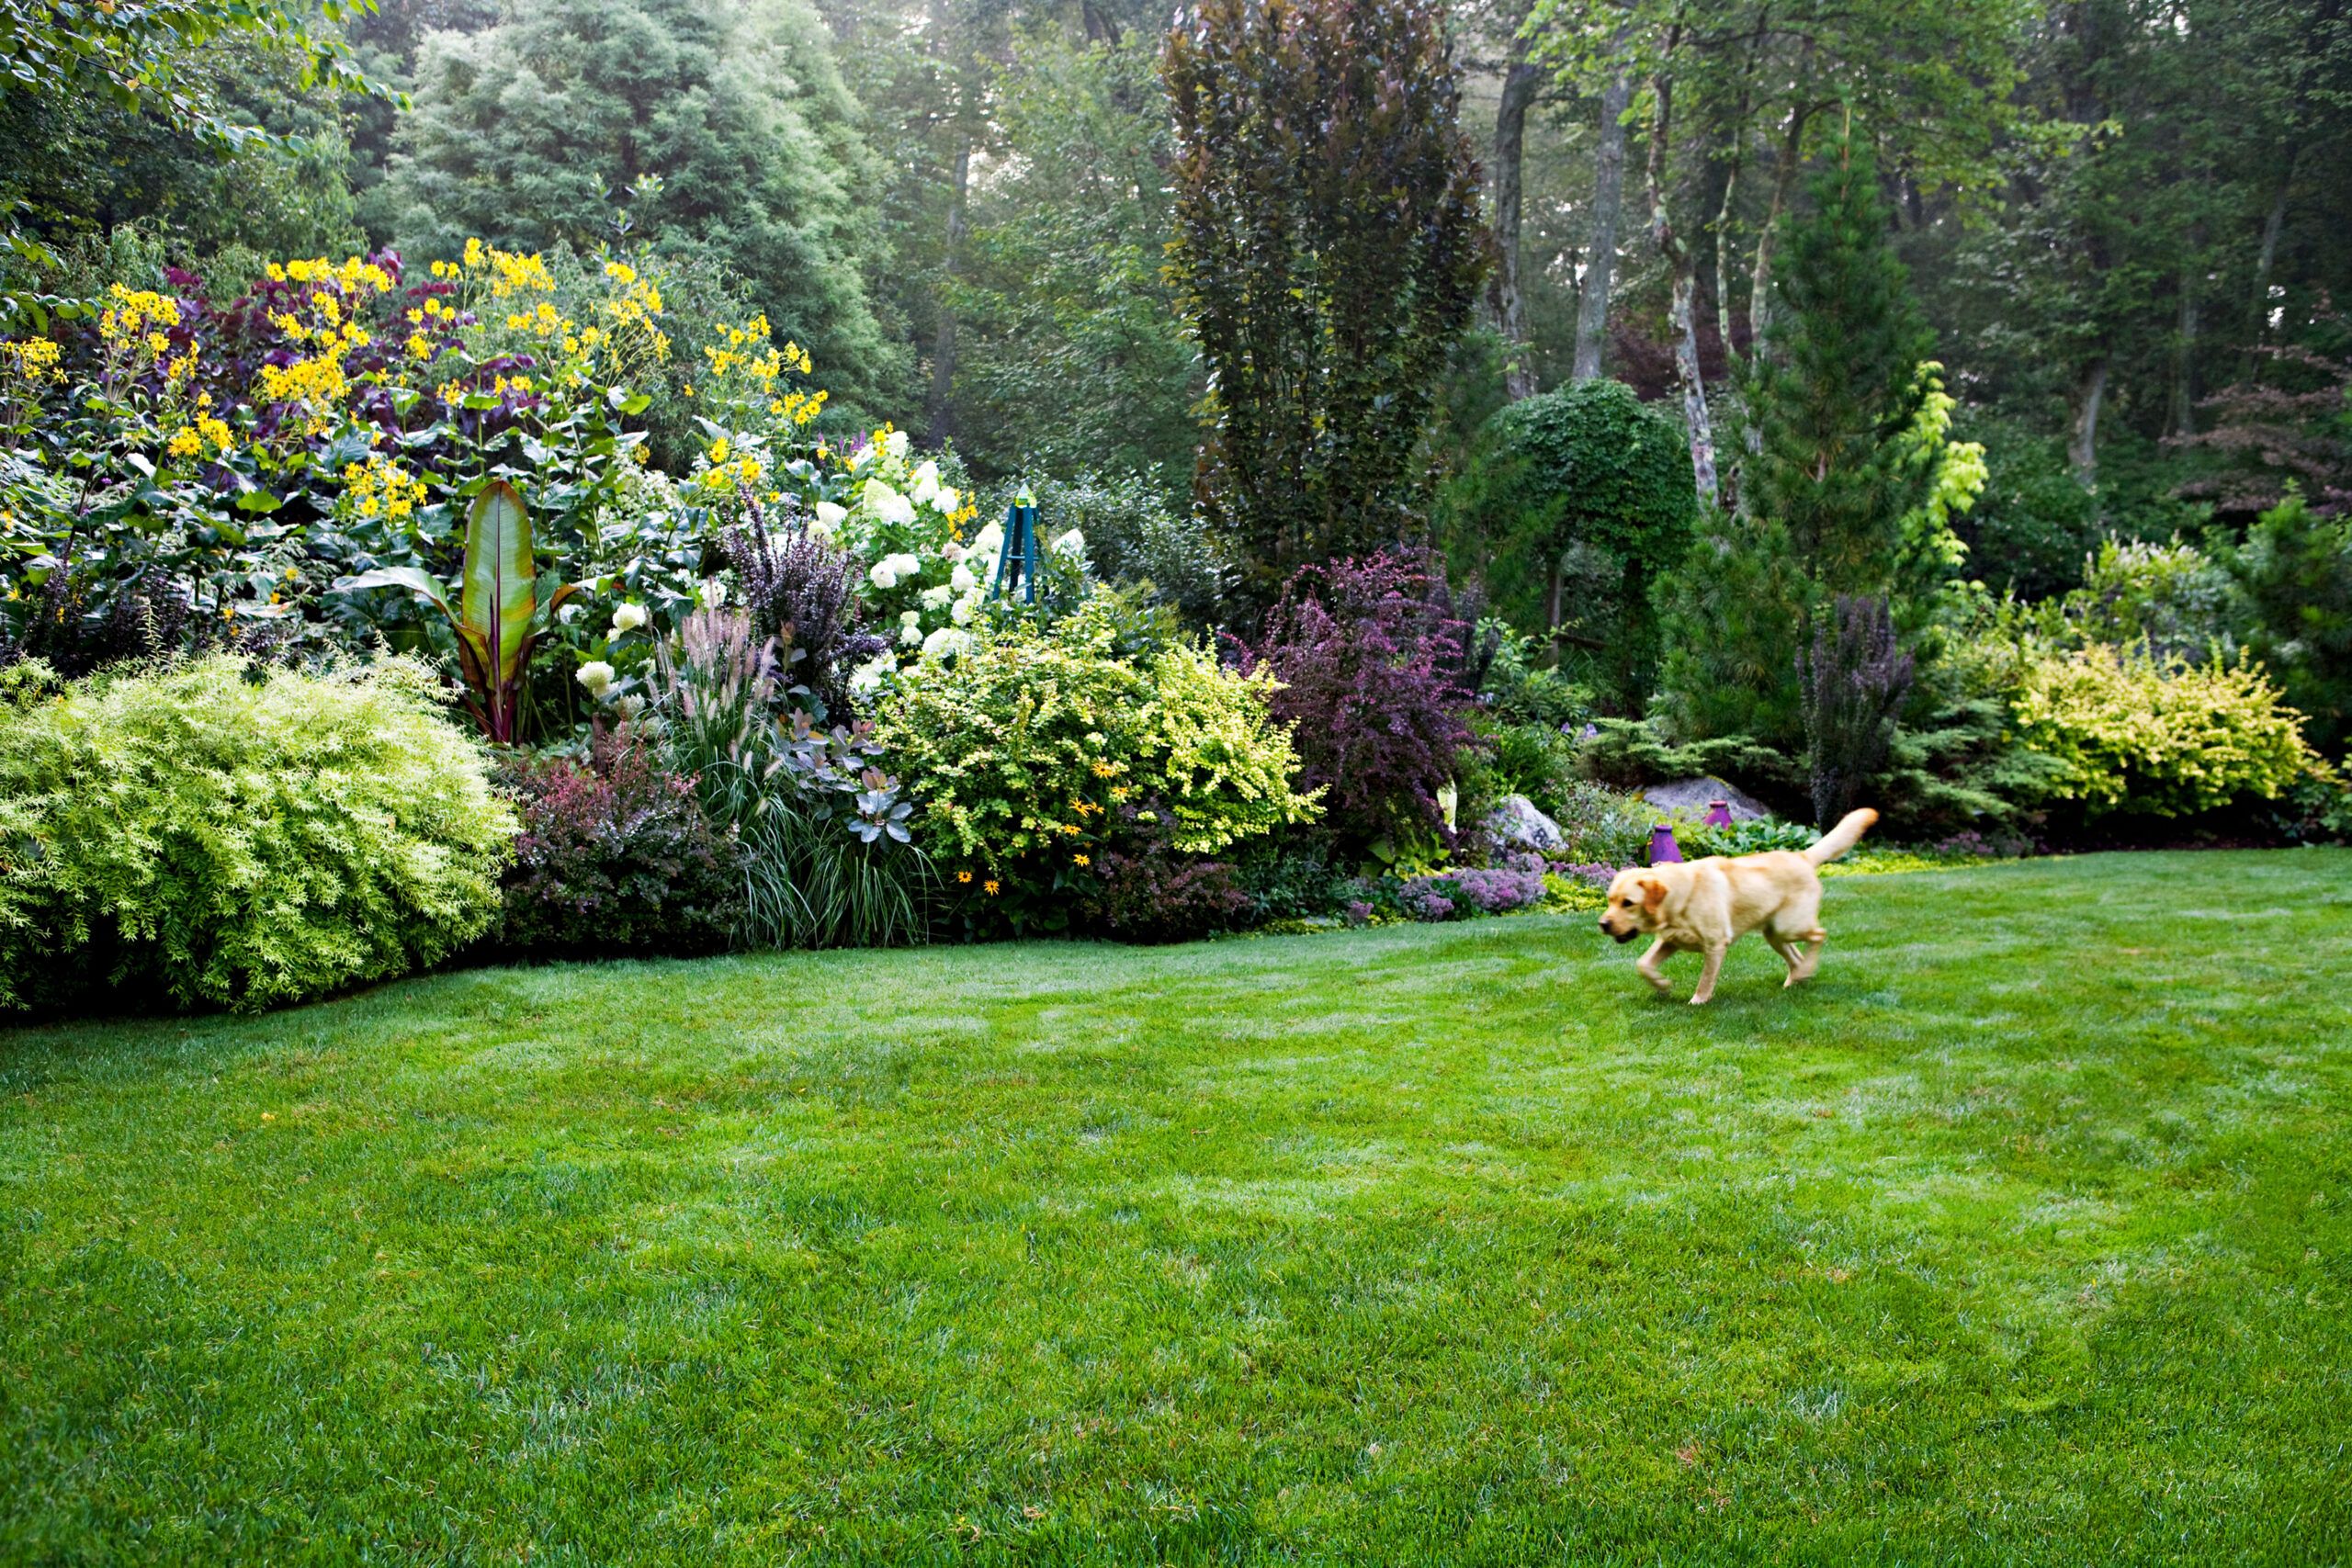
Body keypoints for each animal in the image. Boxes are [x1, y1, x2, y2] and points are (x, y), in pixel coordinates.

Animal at [1599, 808, 1871, 1006]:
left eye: (1628, 903)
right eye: (1610, 900)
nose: (1603, 924)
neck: (1679, 894)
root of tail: (1802, 856)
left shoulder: (1715, 944)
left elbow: (1705, 980)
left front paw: (1697, 1001)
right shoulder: (1669, 940)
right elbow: (1643, 964)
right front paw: (1662, 986)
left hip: (1789, 925)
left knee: (1819, 934)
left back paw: (1805, 971)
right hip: (1774, 932)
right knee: (1796, 957)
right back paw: (1799, 977)